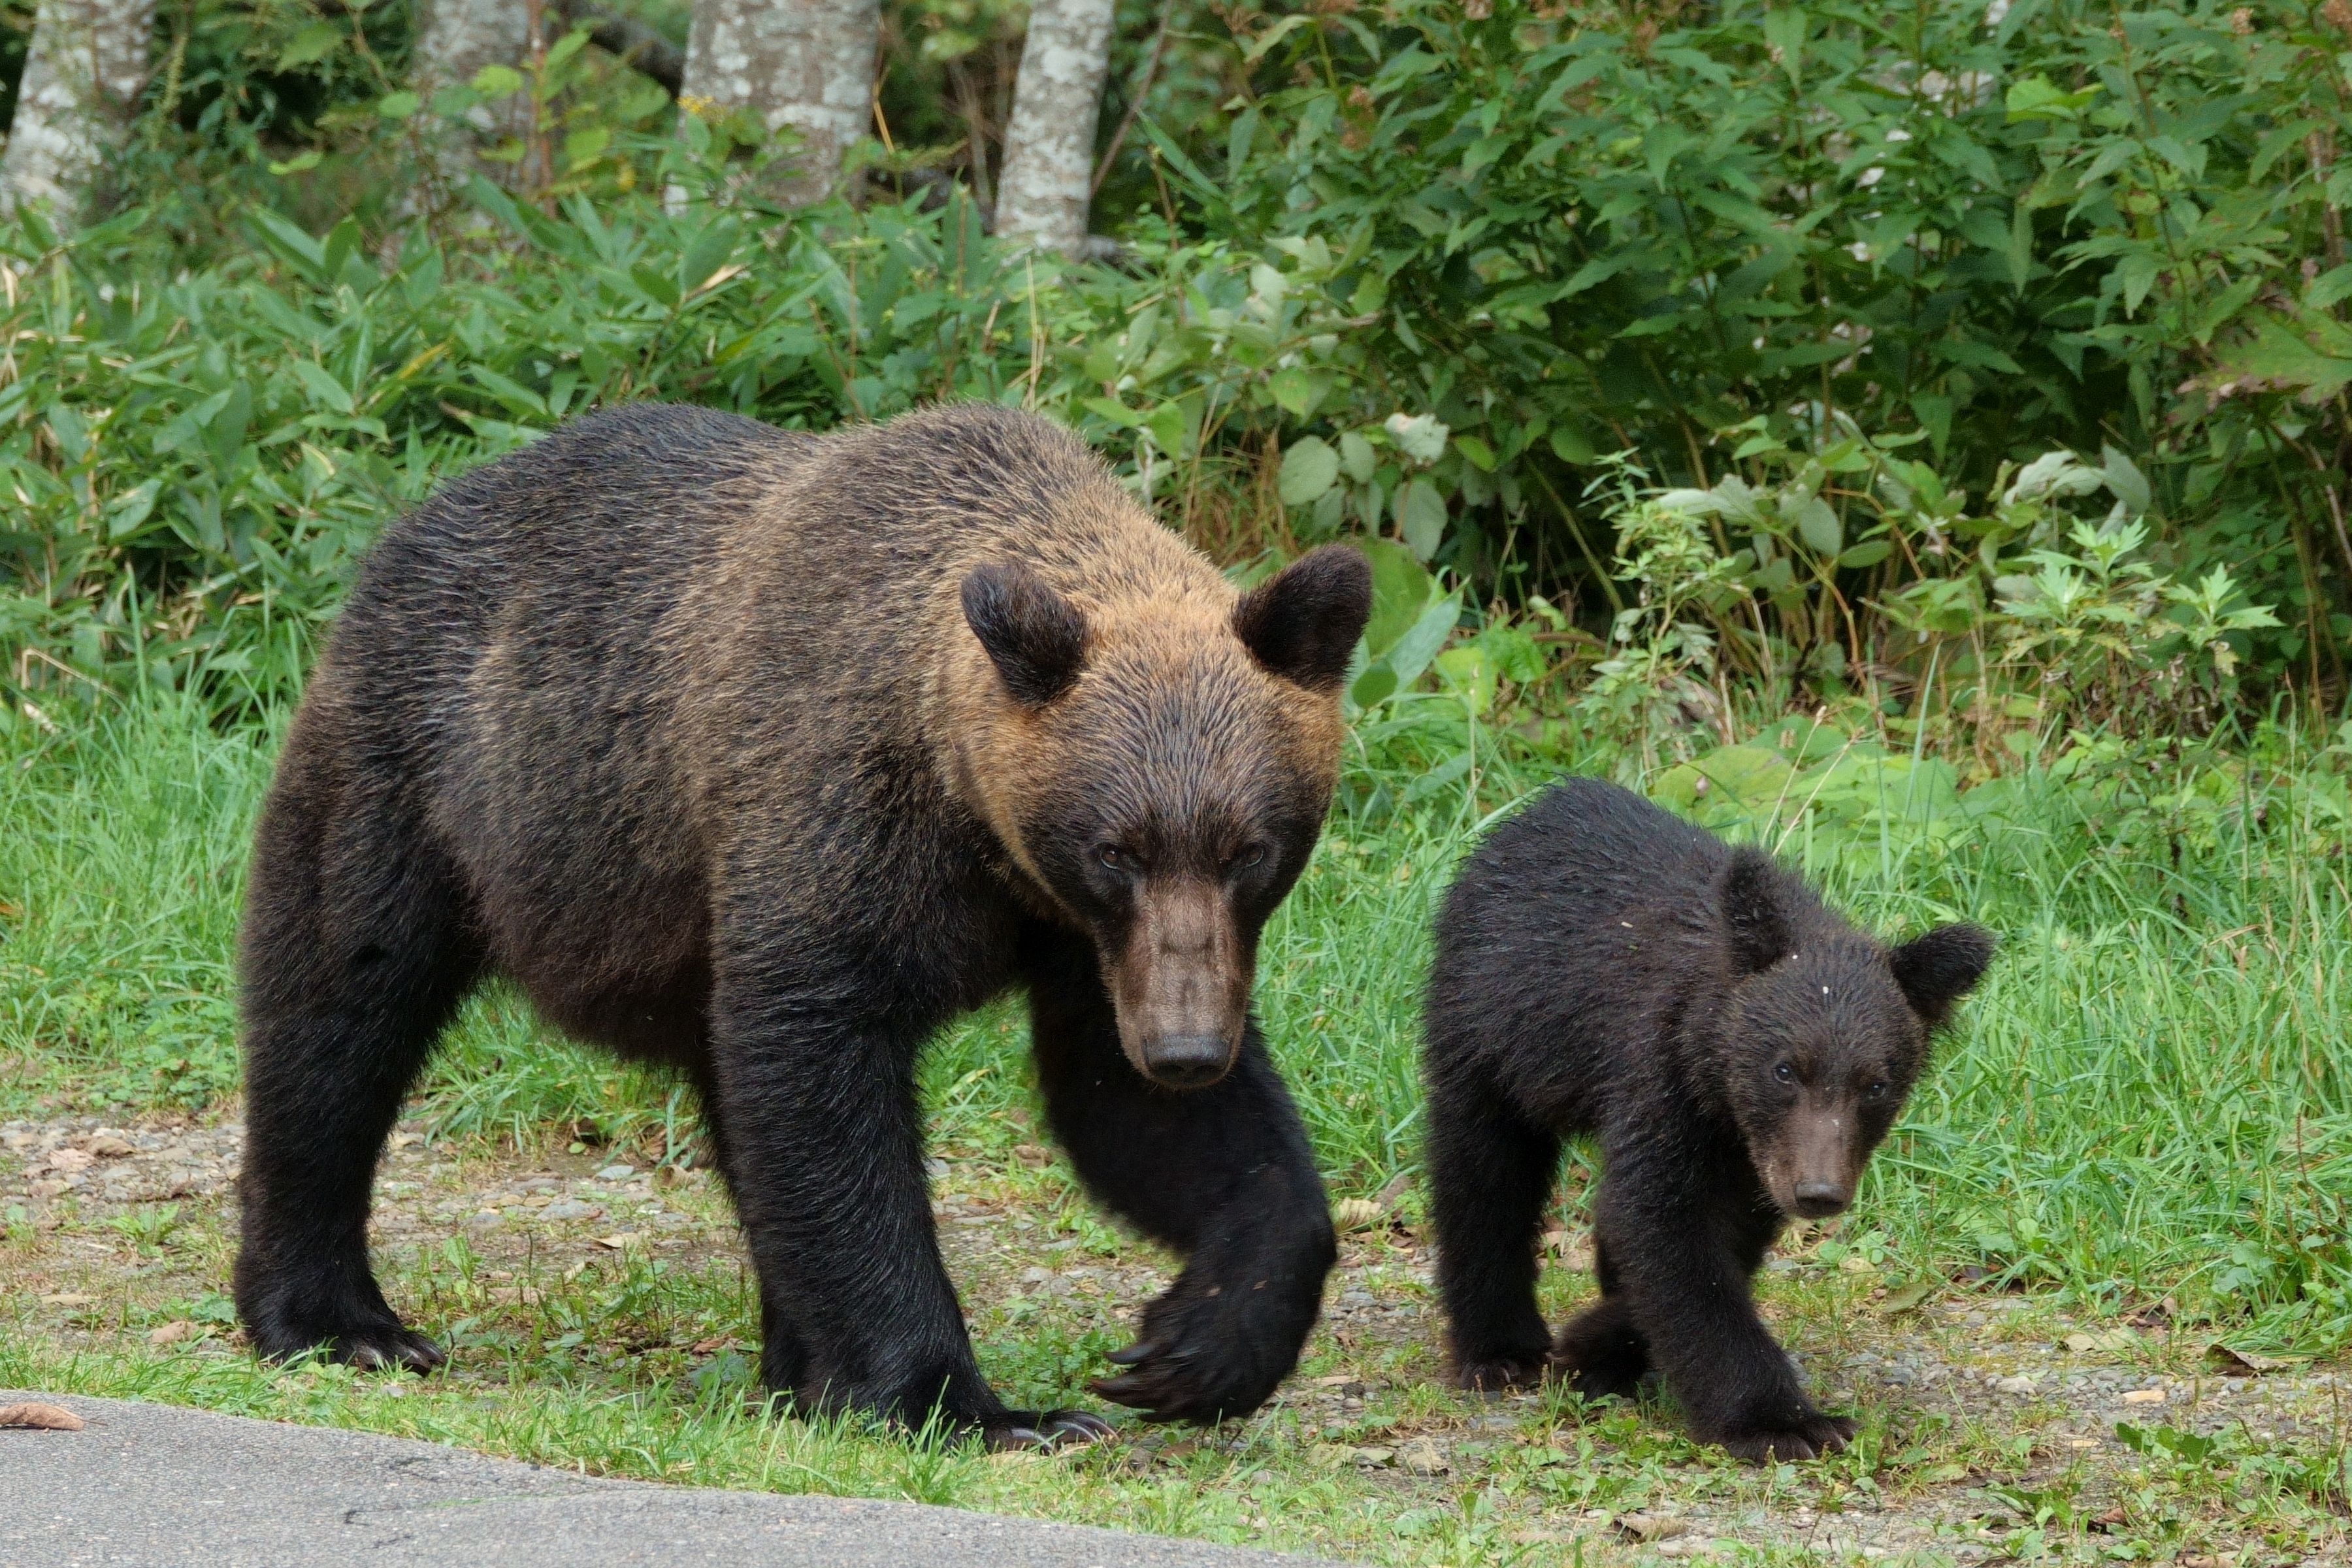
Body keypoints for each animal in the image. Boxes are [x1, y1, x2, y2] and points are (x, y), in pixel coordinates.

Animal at [232, 400, 1372, 1450]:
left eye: (1249, 850)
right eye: (1116, 849)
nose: (1187, 1049)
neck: (976, 827)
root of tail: (413, 520)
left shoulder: (1089, 944)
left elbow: (1132, 1108)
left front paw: (1198, 1344)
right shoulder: (839, 821)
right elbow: (826, 1080)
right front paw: (971, 1403)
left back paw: (797, 1368)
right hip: (425, 781)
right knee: (340, 1010)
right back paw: (338, 1318)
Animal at [1421, 774, 1994, 1462]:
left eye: (1876, 1085)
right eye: (1785, 1069)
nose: (1819, 1193)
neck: (1719, 1088)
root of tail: (1529, 813)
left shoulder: (1752, 1154)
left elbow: (1712, 1233)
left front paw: (1600, 1345)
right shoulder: (1661, 1076)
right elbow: (1668, 1229)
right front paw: (1784, 1421)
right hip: (1490, 1031)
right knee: (1484, 1174)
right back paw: (1500, 1349)